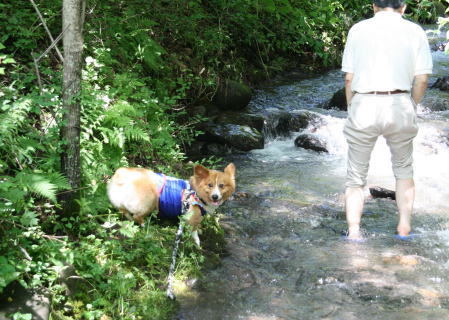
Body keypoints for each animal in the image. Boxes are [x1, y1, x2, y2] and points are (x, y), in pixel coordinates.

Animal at [107, 162, 236, 245]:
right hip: (151, 200)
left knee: (125, 211)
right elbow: (194, 231)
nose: (215, 196)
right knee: (137, 216)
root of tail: (121, 174)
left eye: (221, 185)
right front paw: (197, 242)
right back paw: (146, 225)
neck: (197, 193)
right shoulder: (192, 216)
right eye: (210, 185)